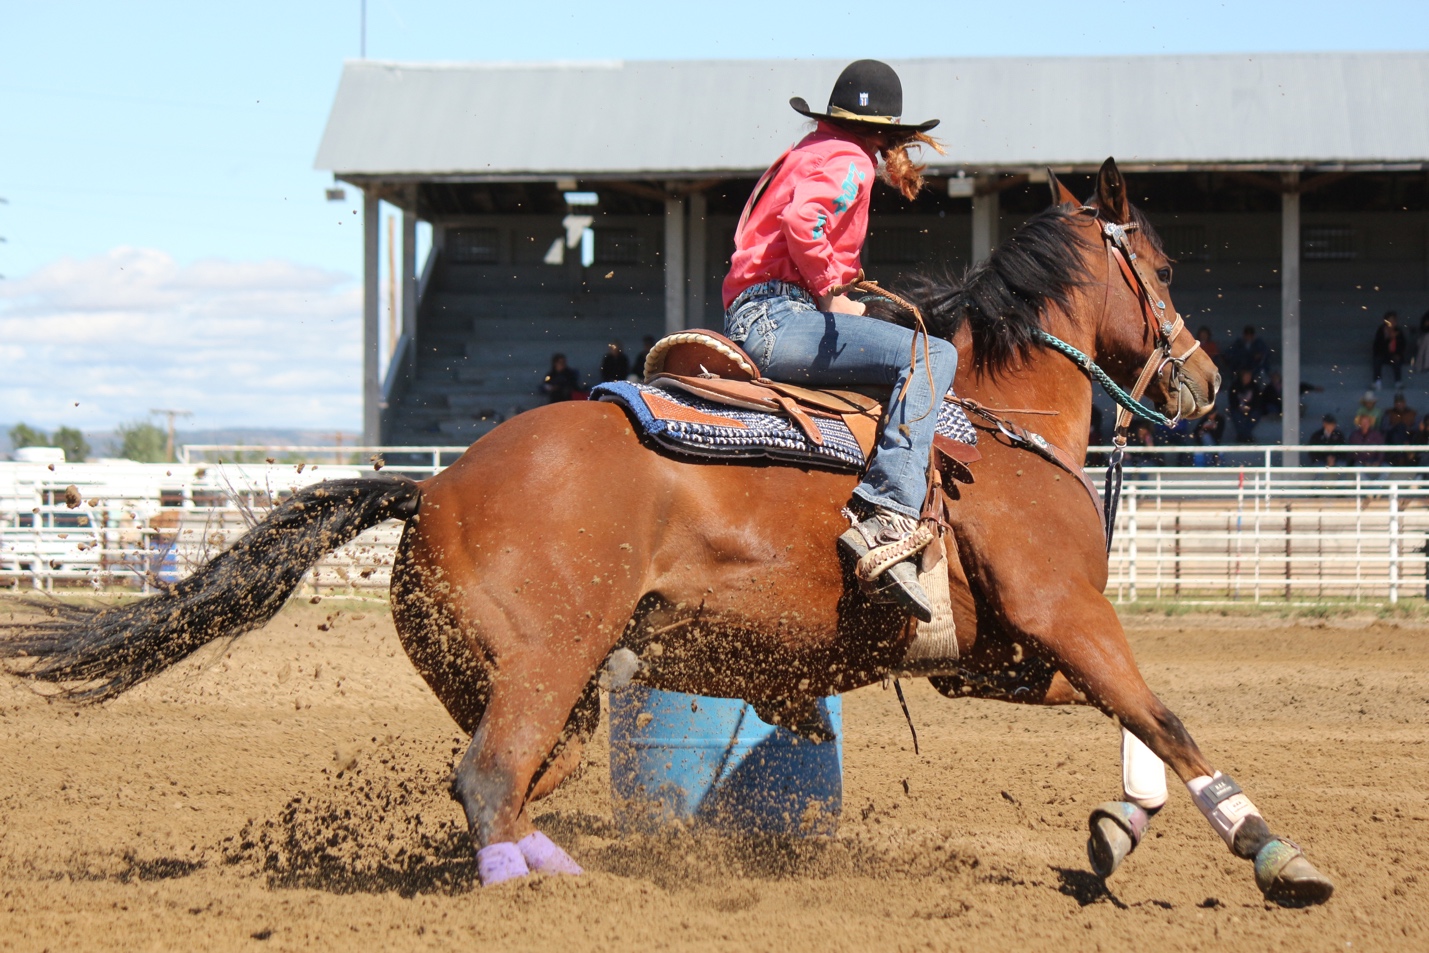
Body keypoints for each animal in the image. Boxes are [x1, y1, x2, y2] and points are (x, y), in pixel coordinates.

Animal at [2, 160, 1326, 908]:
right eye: (1159, 260)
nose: (1209, 381)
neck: (995, 427)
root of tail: (430, 489)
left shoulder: (1004, 653)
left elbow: (1135, 729)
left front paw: (1113, 831)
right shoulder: (1064, 613)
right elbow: (1169, 714)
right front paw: (1276, 857)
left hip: (542, 685)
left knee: (504, 784)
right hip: (548, 661)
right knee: (487, 781)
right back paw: (556, 893)